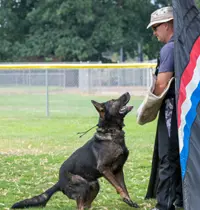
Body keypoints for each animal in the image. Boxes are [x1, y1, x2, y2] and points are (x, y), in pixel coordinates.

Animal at [11, 92, 139, 209]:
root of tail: (59, 182)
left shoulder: (118, 169)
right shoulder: (104, 168)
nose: (127, 92)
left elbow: (123, 187)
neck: (111, 131)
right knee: (80, 206)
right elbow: (118, 186)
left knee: (86, 205)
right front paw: (125, 197)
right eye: (113, 100)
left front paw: (128, 200)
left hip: (94, 185)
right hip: (83, 186)